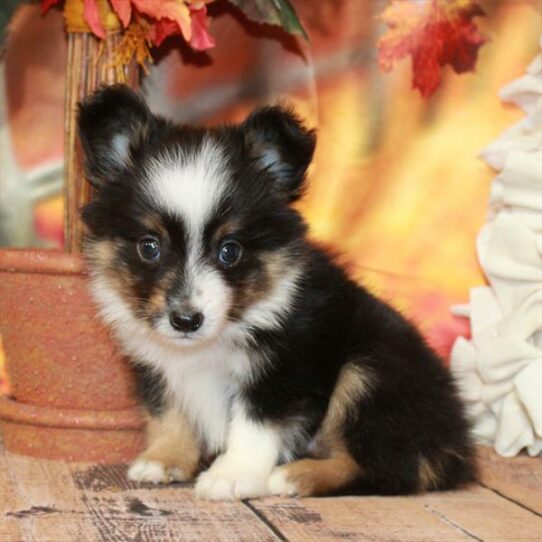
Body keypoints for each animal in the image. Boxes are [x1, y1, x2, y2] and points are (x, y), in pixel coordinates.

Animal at [79, 86, 476, 502]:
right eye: (149, 247)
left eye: (230, 250)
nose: (186, 321)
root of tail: (456, 446)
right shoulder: (157, 366)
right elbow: (168, 411)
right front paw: (164, 458)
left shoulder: (285, 363)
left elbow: (256, 422)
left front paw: (232, 475)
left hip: (371, 371)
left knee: (385, 467)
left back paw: (293, 476)